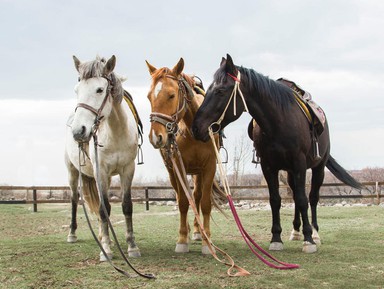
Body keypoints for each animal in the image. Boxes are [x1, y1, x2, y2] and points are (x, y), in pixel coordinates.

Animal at [64, 55, 141, 260]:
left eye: (99, 89)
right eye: (77, 90)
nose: (78, 131)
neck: (116, 132)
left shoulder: (128, 169)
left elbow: (126, 206)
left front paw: (131, 246)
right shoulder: (102, 171)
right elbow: (104, 208)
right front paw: (105, 249)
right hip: (73, 172)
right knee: (74, 199)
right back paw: (73, 234)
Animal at [146, 58, 226, 254]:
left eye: (171, 95)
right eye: (149, 96)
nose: (156, 137)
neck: (193, 130)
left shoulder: (209, 167)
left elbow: (204, 202)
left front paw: (207, 241)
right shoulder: (177, 165)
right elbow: (183, 202)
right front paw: (182, 239)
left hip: (198, 173)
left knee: (196, 196)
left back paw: (198, 231)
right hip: (172, 171)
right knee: (180, 196)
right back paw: (190, 231)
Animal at [194, 54, 362, 252]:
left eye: (220, 91)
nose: (196, 127)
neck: (279, 121)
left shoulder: (299, 165)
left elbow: (303, 199)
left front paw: (309, 240)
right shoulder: (269, 166)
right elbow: (276, 199)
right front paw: (276, 238)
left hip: (318, 168)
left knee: (312, 197)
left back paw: (314, 233)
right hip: (289, 172)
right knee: (296, 195)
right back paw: (296, 231)